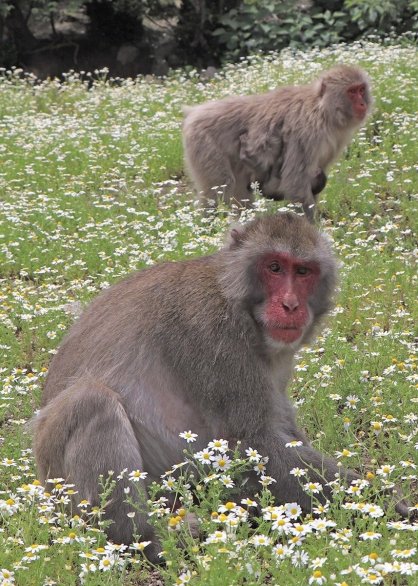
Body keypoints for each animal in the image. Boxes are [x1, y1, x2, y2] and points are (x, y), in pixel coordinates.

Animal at [34, 212, 406, 556]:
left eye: (303, 272)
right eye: (274, 267)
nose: (290, 304)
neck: (237, 300)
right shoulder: (213, 332)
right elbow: (252, 440)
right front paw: (388, 506)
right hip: (66, 489)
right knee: (92, 400)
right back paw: (143, 537)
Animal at [183, 63, 372, 219]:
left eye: (362, 90)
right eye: (352, 92)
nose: (363, 104)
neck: (322, 111)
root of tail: (194, 112)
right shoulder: (307, 132)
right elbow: (296, 184)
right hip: (204, 143)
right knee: (220, 186)